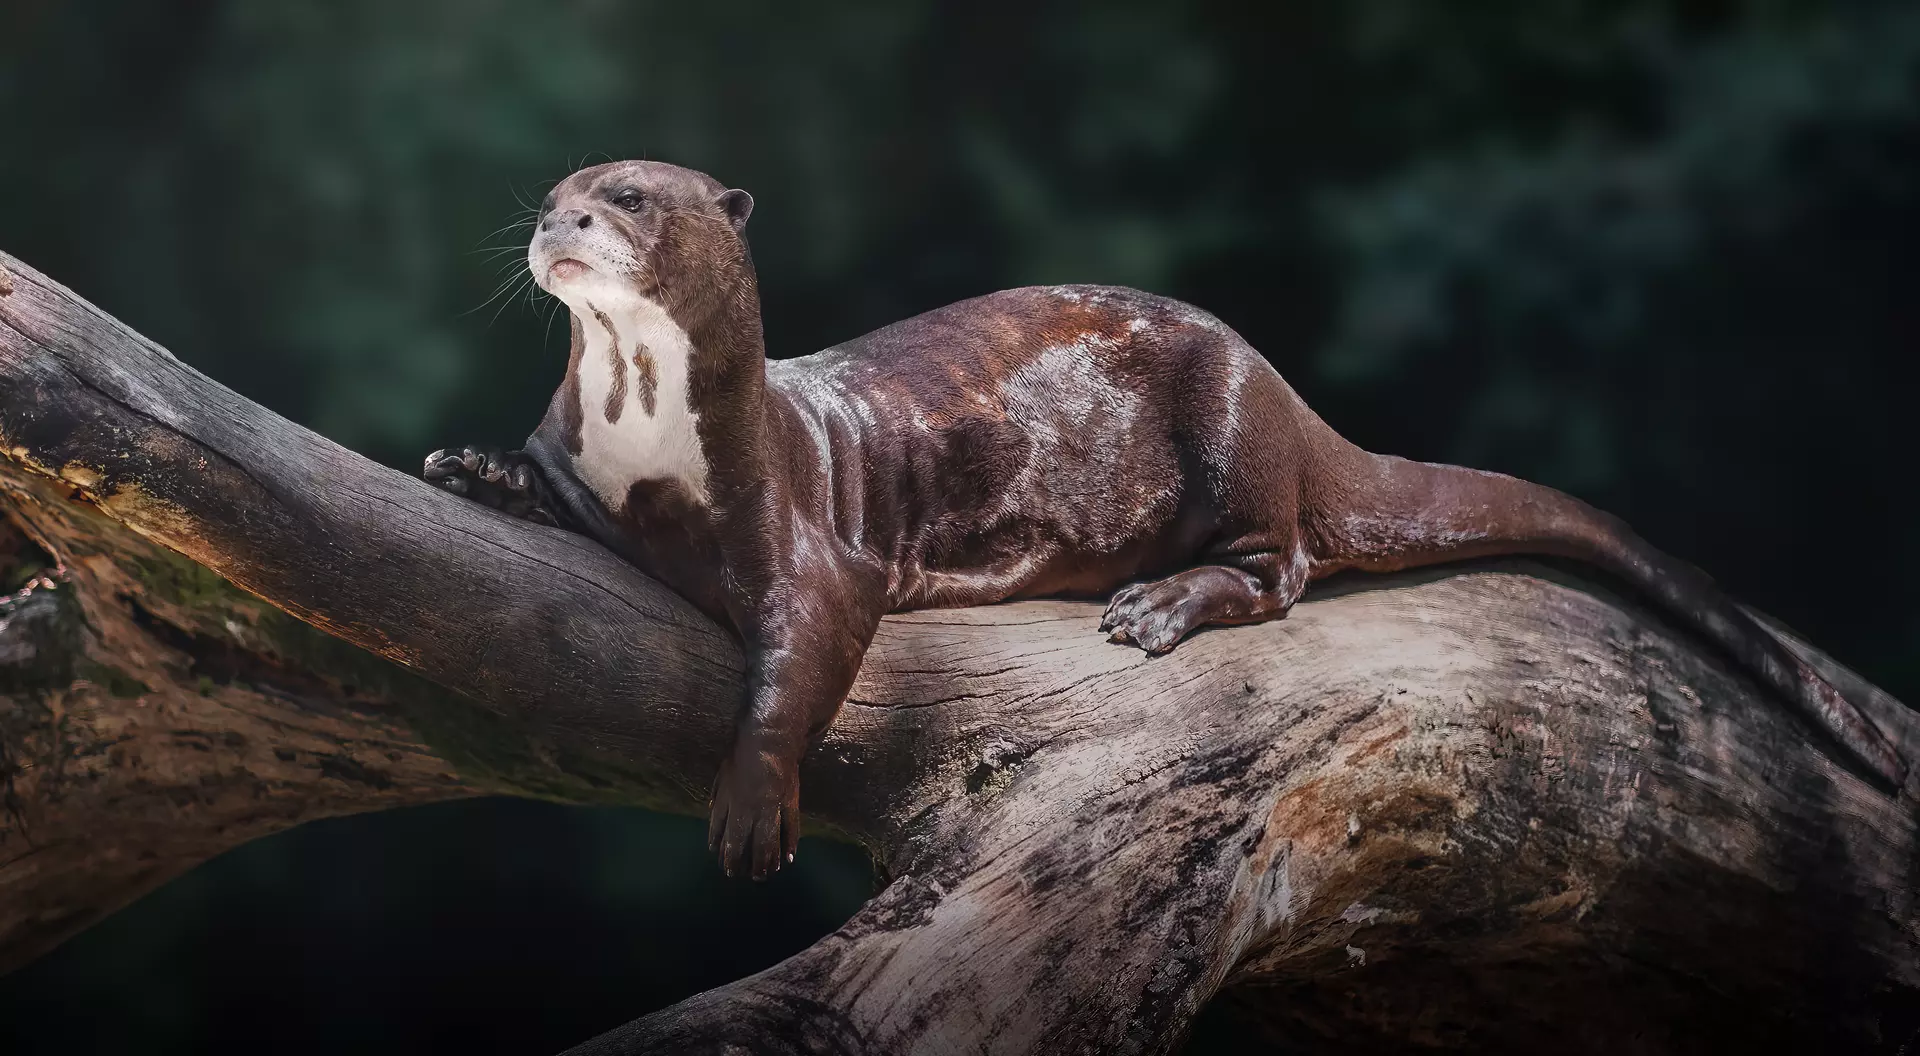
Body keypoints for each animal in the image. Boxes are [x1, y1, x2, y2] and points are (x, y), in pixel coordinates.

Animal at [425, 160, 1902, 880]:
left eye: (627, 198)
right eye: (557, 193)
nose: (557, 221)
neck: (648, 442)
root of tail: (1292, 393)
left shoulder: (800, 529)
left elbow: (798, 655)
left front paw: (751, 805)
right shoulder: (581, 463)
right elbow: (536, 481)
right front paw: (465, 466)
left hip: (1234, 432)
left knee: (1285, 562)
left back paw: (1154, 606)